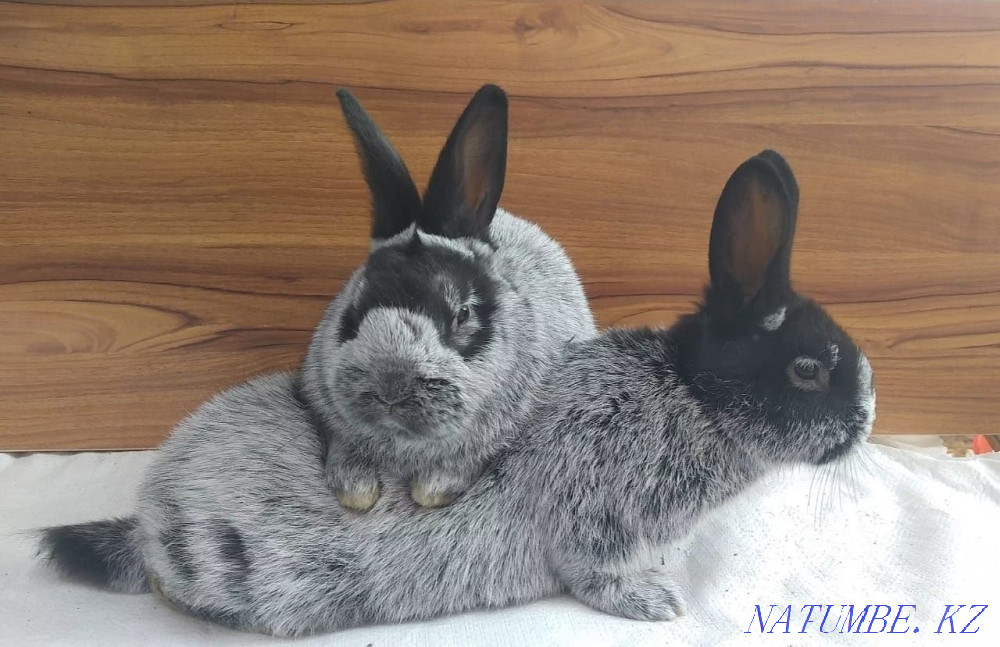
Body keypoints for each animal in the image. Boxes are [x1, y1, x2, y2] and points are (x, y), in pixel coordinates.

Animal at [39, 150, 876, 637]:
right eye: (809, 368)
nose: (868, 418)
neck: (692, 397)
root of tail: (152, 512)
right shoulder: (595, 520)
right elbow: (594, 572)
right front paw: (655, 602)